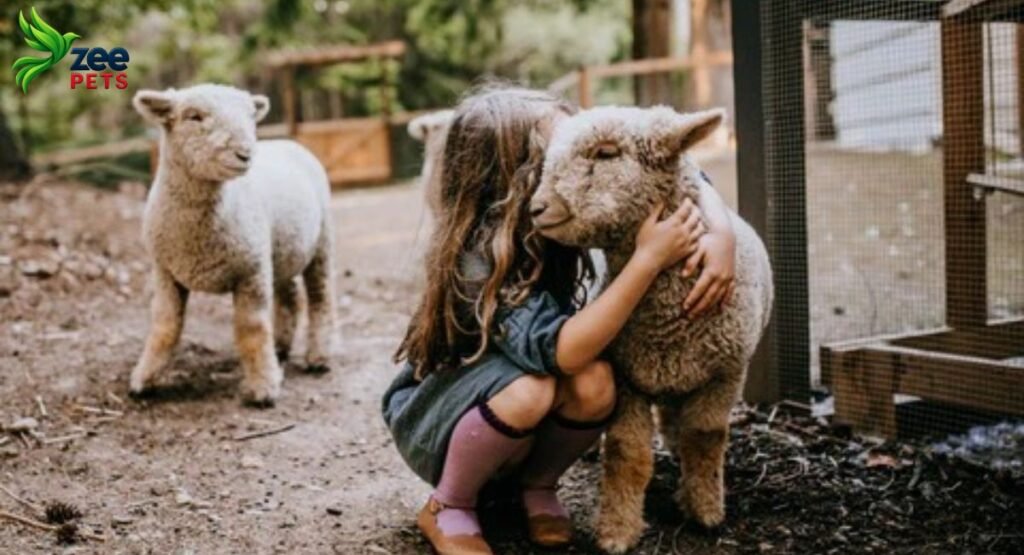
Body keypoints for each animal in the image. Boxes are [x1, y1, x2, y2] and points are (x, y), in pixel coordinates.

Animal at [130, 84, 336, 407]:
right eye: (193, 116)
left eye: (251, 116)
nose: (245, 154)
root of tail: (288, 142)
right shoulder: (165, 273)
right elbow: (165, 324)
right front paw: (145, 378)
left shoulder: (251, 272)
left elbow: (251, 328)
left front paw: (263, 386)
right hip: (280, 252)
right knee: (289, 297)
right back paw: (280, 348)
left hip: (321, 243)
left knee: (320, 297)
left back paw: (319, 357)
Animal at [530, 105, 773, 553]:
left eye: (606, 152)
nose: (537, 208)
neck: (666, 325)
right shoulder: (626, 378)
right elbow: (626, 454)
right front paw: (617, 531)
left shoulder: (725, 375)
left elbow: (705, 438)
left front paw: (705, 510)